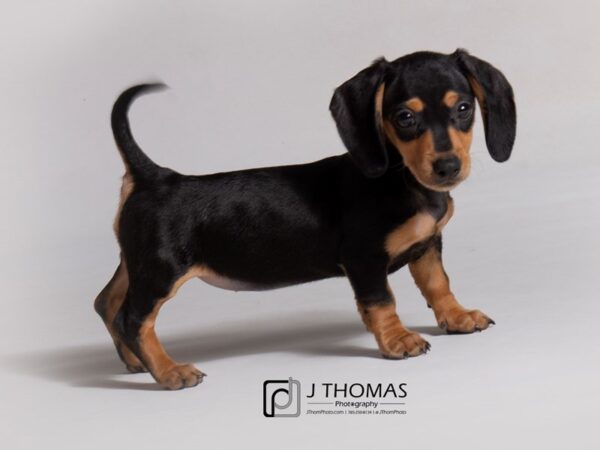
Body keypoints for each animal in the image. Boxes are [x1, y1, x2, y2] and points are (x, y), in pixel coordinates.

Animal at [94, 48, 516, 386]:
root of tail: (154, 175)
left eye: (463, 109)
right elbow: (382, 302)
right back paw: (168, 372)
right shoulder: (364, 259)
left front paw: (457, 317)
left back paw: (136, 362)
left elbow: (438, 284)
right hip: (161, 271)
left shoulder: (428, 245)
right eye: (404, 117)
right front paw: (398, 340)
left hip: (138, 263)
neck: (402, 179)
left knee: (107, 304)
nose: (448, 167)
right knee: (133, 320)